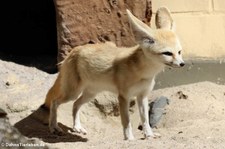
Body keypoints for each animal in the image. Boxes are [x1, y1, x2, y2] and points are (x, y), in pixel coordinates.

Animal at [40, 6, 185, 140]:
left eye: (179, 52)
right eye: (167, 53)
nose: (182, 64)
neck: (143, 72)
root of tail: (74, 50)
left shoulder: (142, 96)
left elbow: (145, 120)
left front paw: (149, 135)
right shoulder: (124, 97)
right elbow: (127, 122)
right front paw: (129, 139)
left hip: (90, 94)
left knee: (75, 105)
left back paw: (77, 127)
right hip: (72, 93)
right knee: (54, 102)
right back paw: (54, 127)